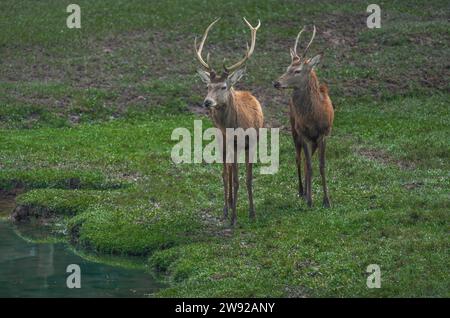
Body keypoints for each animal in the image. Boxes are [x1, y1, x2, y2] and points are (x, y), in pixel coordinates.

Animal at [193, 18, 264, 226]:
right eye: (208, 86)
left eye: (224, 86)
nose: (207, 102)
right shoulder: (227, 145)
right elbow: (232, 178)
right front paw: (232, 217)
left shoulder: (252, 144)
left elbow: (248, 178)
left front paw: (252, 212)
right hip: (222, 143)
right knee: (227, 173)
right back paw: (228, 208)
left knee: (231, 172)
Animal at [272, 26, 332, 207]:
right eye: (287, 68)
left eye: (297, 70)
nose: (276, 83)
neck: (314, 117)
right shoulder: (304, 134)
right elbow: (310, 166)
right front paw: (310, 200)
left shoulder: (324, 134)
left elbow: (321, 166)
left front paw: (326, 200)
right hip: (294, 130)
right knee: (299, 159)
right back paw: (301, 191)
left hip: (312, 140)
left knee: (306, 160)